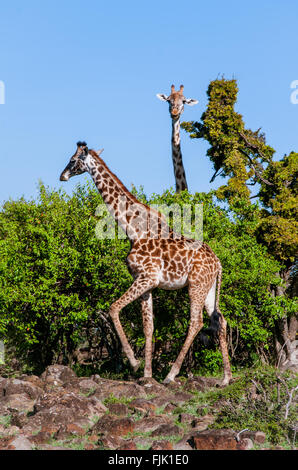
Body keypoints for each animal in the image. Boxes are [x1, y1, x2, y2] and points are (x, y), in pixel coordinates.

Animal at [60, 141, 233, 384]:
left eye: (73, 160)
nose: (62, 176)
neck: (133, 230)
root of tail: (218, 263)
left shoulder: (146, 277)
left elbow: (113, 308)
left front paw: (134, 363)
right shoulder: (147, 284)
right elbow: (148, 327)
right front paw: (147, 375)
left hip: (196, 285)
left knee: (196, 322)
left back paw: (171, 374)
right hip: (209, 288)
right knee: (220, 321)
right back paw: (226, 378)